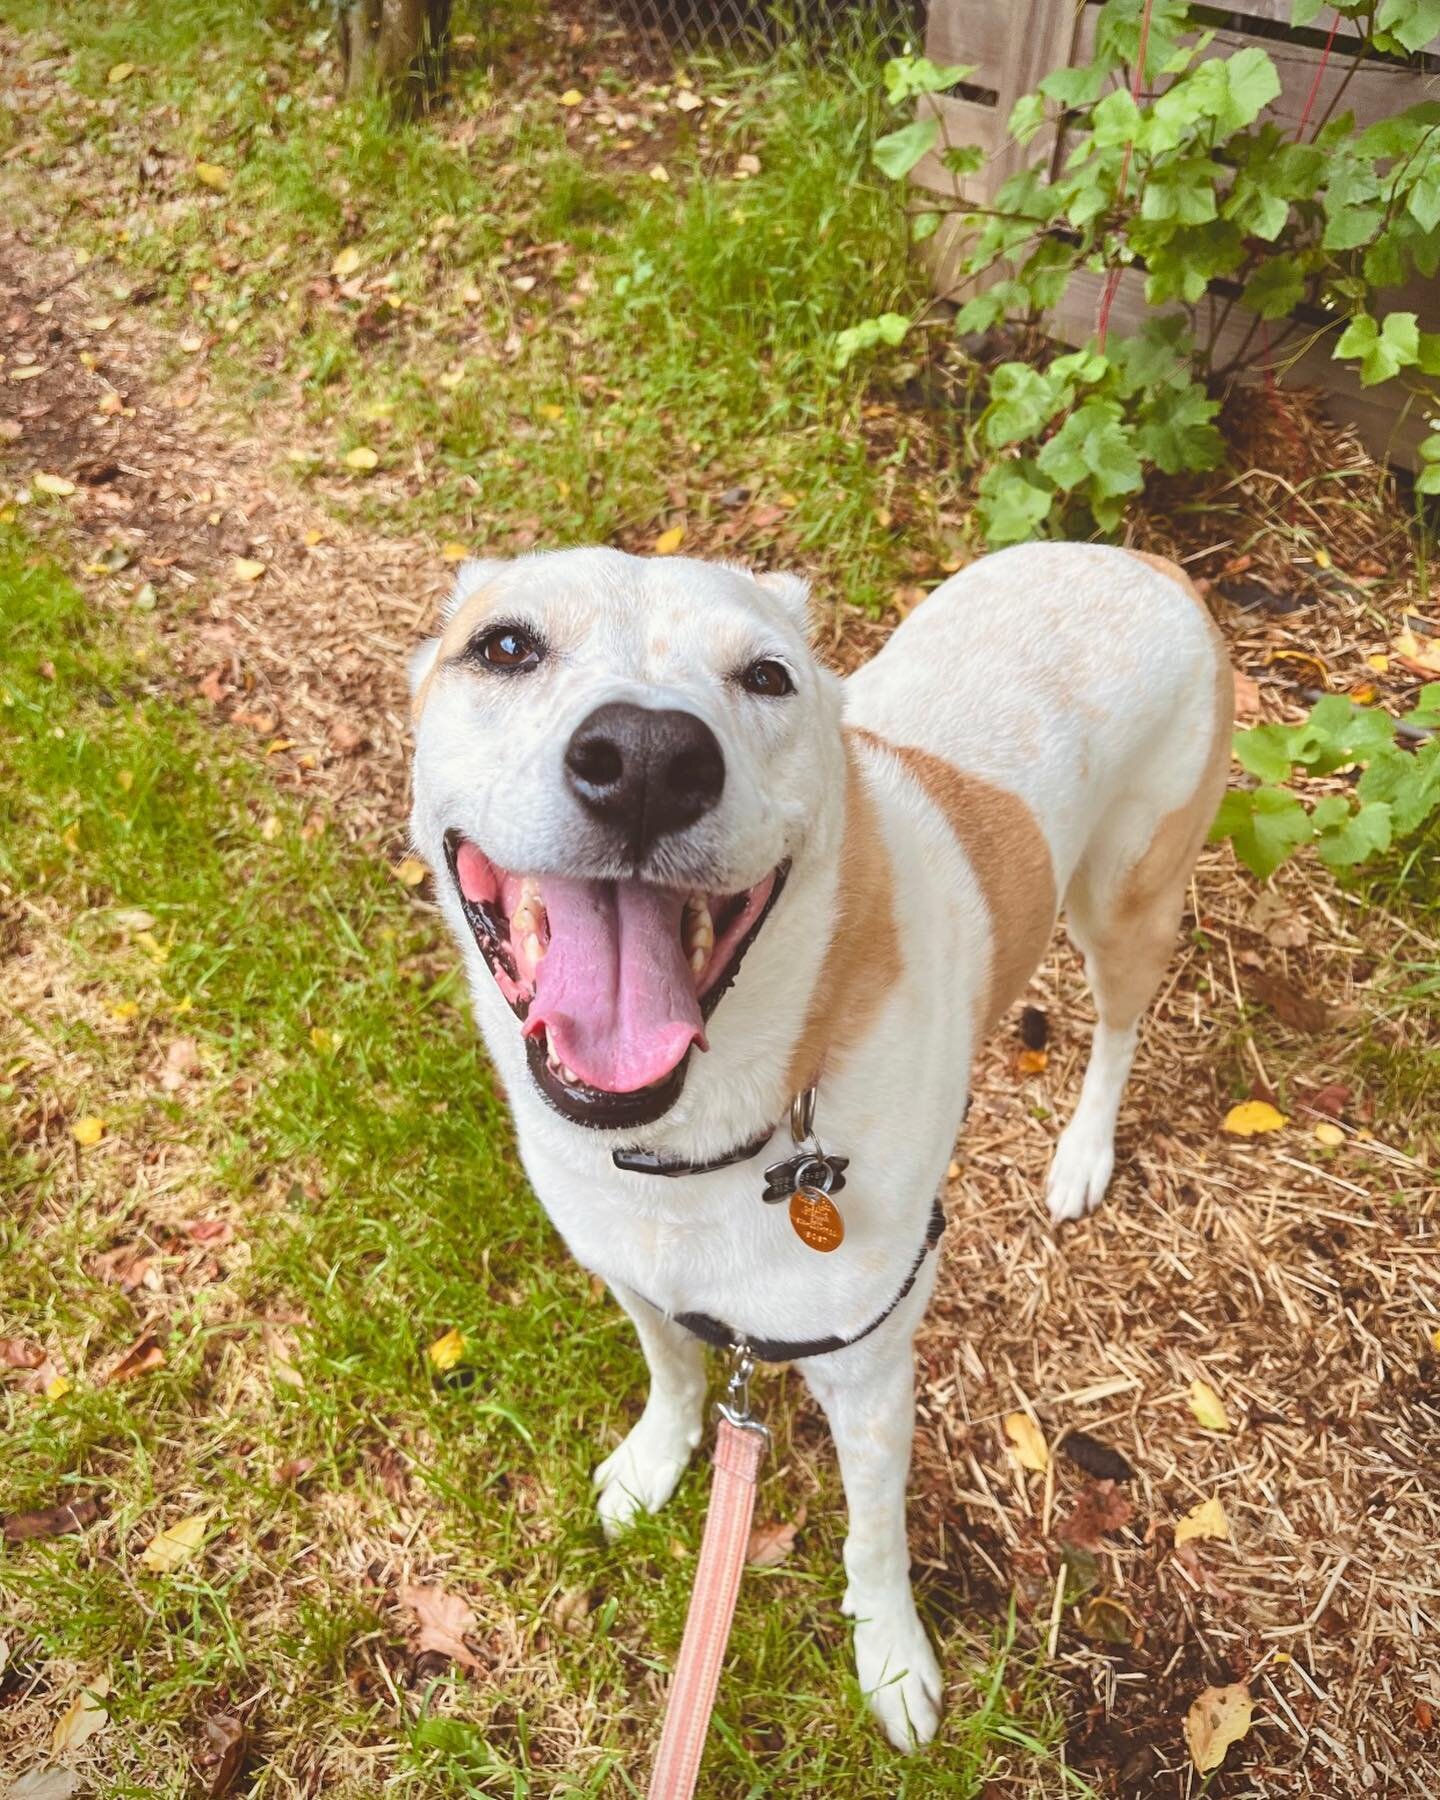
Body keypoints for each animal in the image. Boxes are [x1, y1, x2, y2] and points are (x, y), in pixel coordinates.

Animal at [410, 540, 1231, 1749]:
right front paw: (652, 1466)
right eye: (504, 645)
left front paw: (890, 1661)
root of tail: (1149, 559)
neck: (699, 1142)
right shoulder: (636, 1277)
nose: (647, 759)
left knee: (1122, 1022)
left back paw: (1082, 1152)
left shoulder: (872, 1373)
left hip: (1126, 901)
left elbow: (873, 1538)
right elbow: (675, 1377)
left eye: (767, 677)